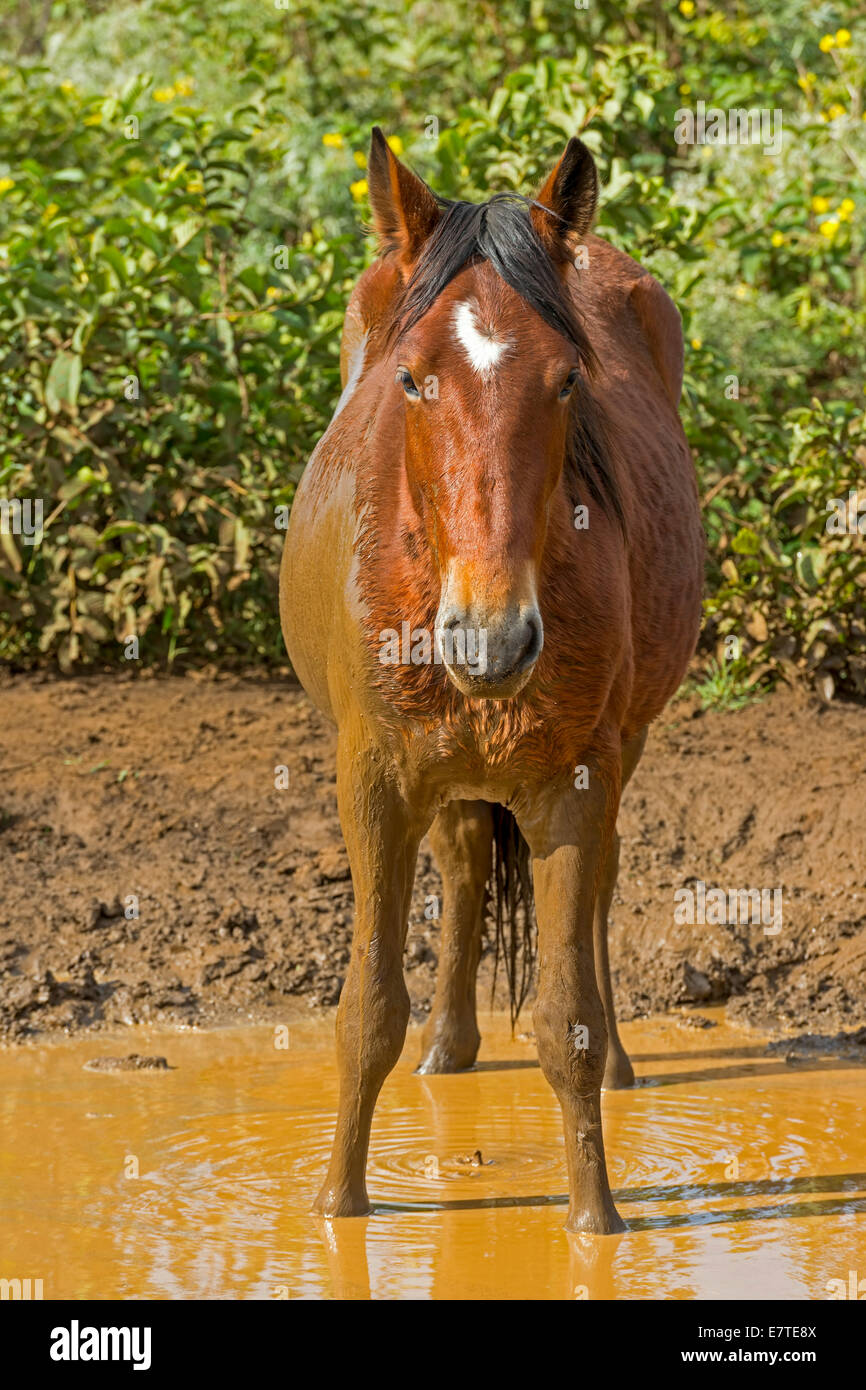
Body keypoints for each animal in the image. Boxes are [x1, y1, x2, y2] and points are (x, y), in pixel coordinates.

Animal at [280, 128, 703, 1233]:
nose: (491, 638)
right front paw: (339, 1206)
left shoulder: (573, 780)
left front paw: (594, 1223)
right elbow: (366, 1011)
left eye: (566, 381)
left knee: (596, 892)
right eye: (411, 379)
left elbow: (565, 1021)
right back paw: (448, 1047)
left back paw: (618, 1062)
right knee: (466, 859)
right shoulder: (373, 781)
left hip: (621, 745)